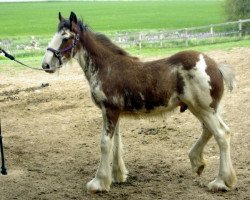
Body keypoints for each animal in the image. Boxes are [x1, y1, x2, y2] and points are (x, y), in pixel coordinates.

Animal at [42, 12, 237, 192]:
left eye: (65, 38)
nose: (45, 65)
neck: (107, 68)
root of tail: (216, 66)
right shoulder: (114, 113)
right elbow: (116, 143)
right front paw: (117, 176)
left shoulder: (110, 110)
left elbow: (105, 144)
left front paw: (98, 183)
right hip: (203, 109)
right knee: (208, 130)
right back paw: (198, 163)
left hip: (204, 109)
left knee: (222, 134)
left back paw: (221, 181)